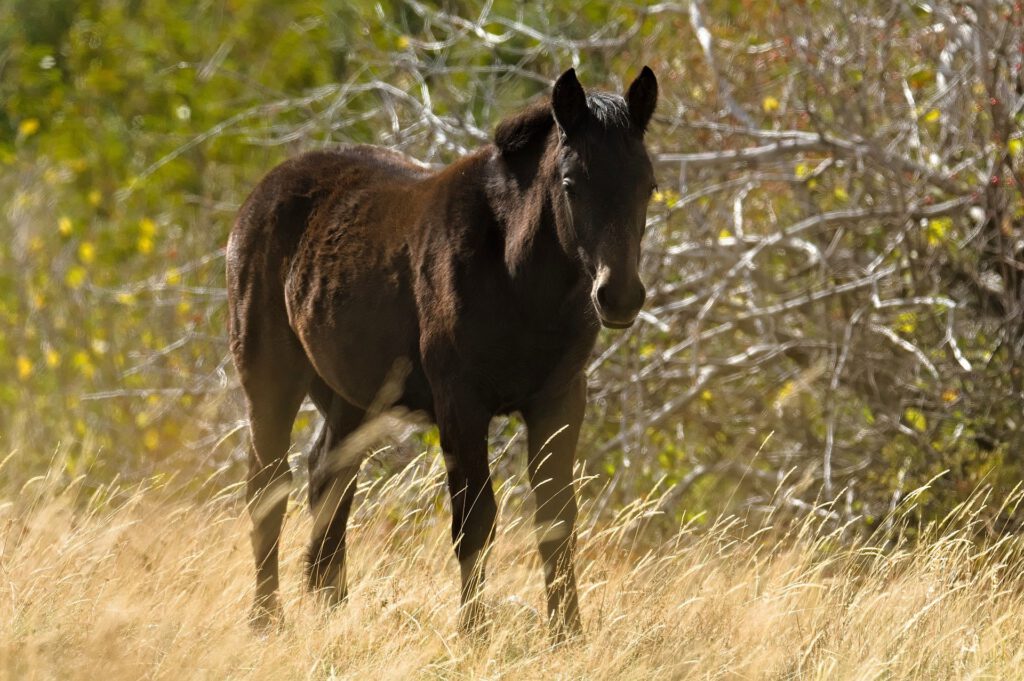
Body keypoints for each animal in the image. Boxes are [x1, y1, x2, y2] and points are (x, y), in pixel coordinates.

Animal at [226, 66, 658, 640]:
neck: (515, 276)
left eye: (648, 186)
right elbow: (474, 523)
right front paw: (473, 633)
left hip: (350, 394)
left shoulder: (560, 400)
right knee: (268, 488)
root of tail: (261, 192)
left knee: (329, 478)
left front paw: (567, 634)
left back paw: (333, 608)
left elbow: (556, 519)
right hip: (269, 379)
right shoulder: (461, 406)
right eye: (571, 184)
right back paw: (266, 619)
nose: (620, 296)